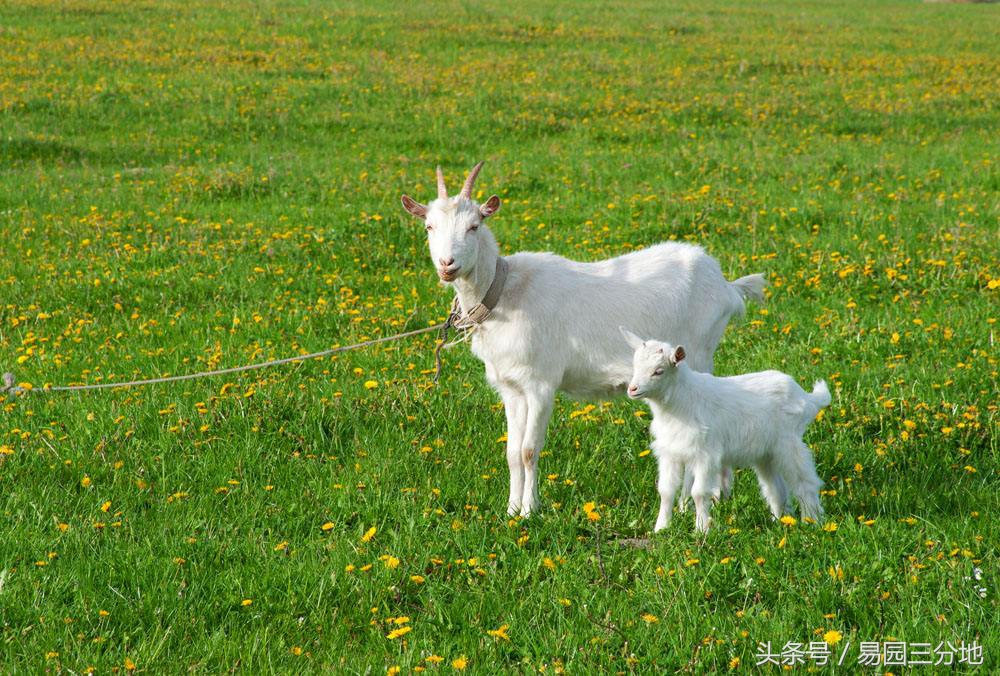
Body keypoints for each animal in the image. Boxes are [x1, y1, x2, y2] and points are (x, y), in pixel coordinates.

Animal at [400, 161, 764, 516]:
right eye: (429, 227)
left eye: (474, 226)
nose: (447, 265)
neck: (504, 293)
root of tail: (726, 285)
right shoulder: (511, 387)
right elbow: (513, 452)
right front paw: (511, 510)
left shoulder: (541, 383)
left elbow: (529, 450)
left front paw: (530, 511)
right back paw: (719, 494)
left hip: (698, 352)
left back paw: (695, 500)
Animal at [624, 328, 828, 532]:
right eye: (635, 365)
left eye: (658, 371)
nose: (632, 389)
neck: (681, 402)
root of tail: (806, 398)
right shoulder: (670, 453)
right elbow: (666, 491)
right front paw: (661, 528)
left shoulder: (705, 454)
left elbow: (698, 492)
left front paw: (701, 530)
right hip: (765, 453)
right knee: (775, 487)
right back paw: (779, 521)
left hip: (789, 443)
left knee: (805, 482)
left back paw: (812, 521)